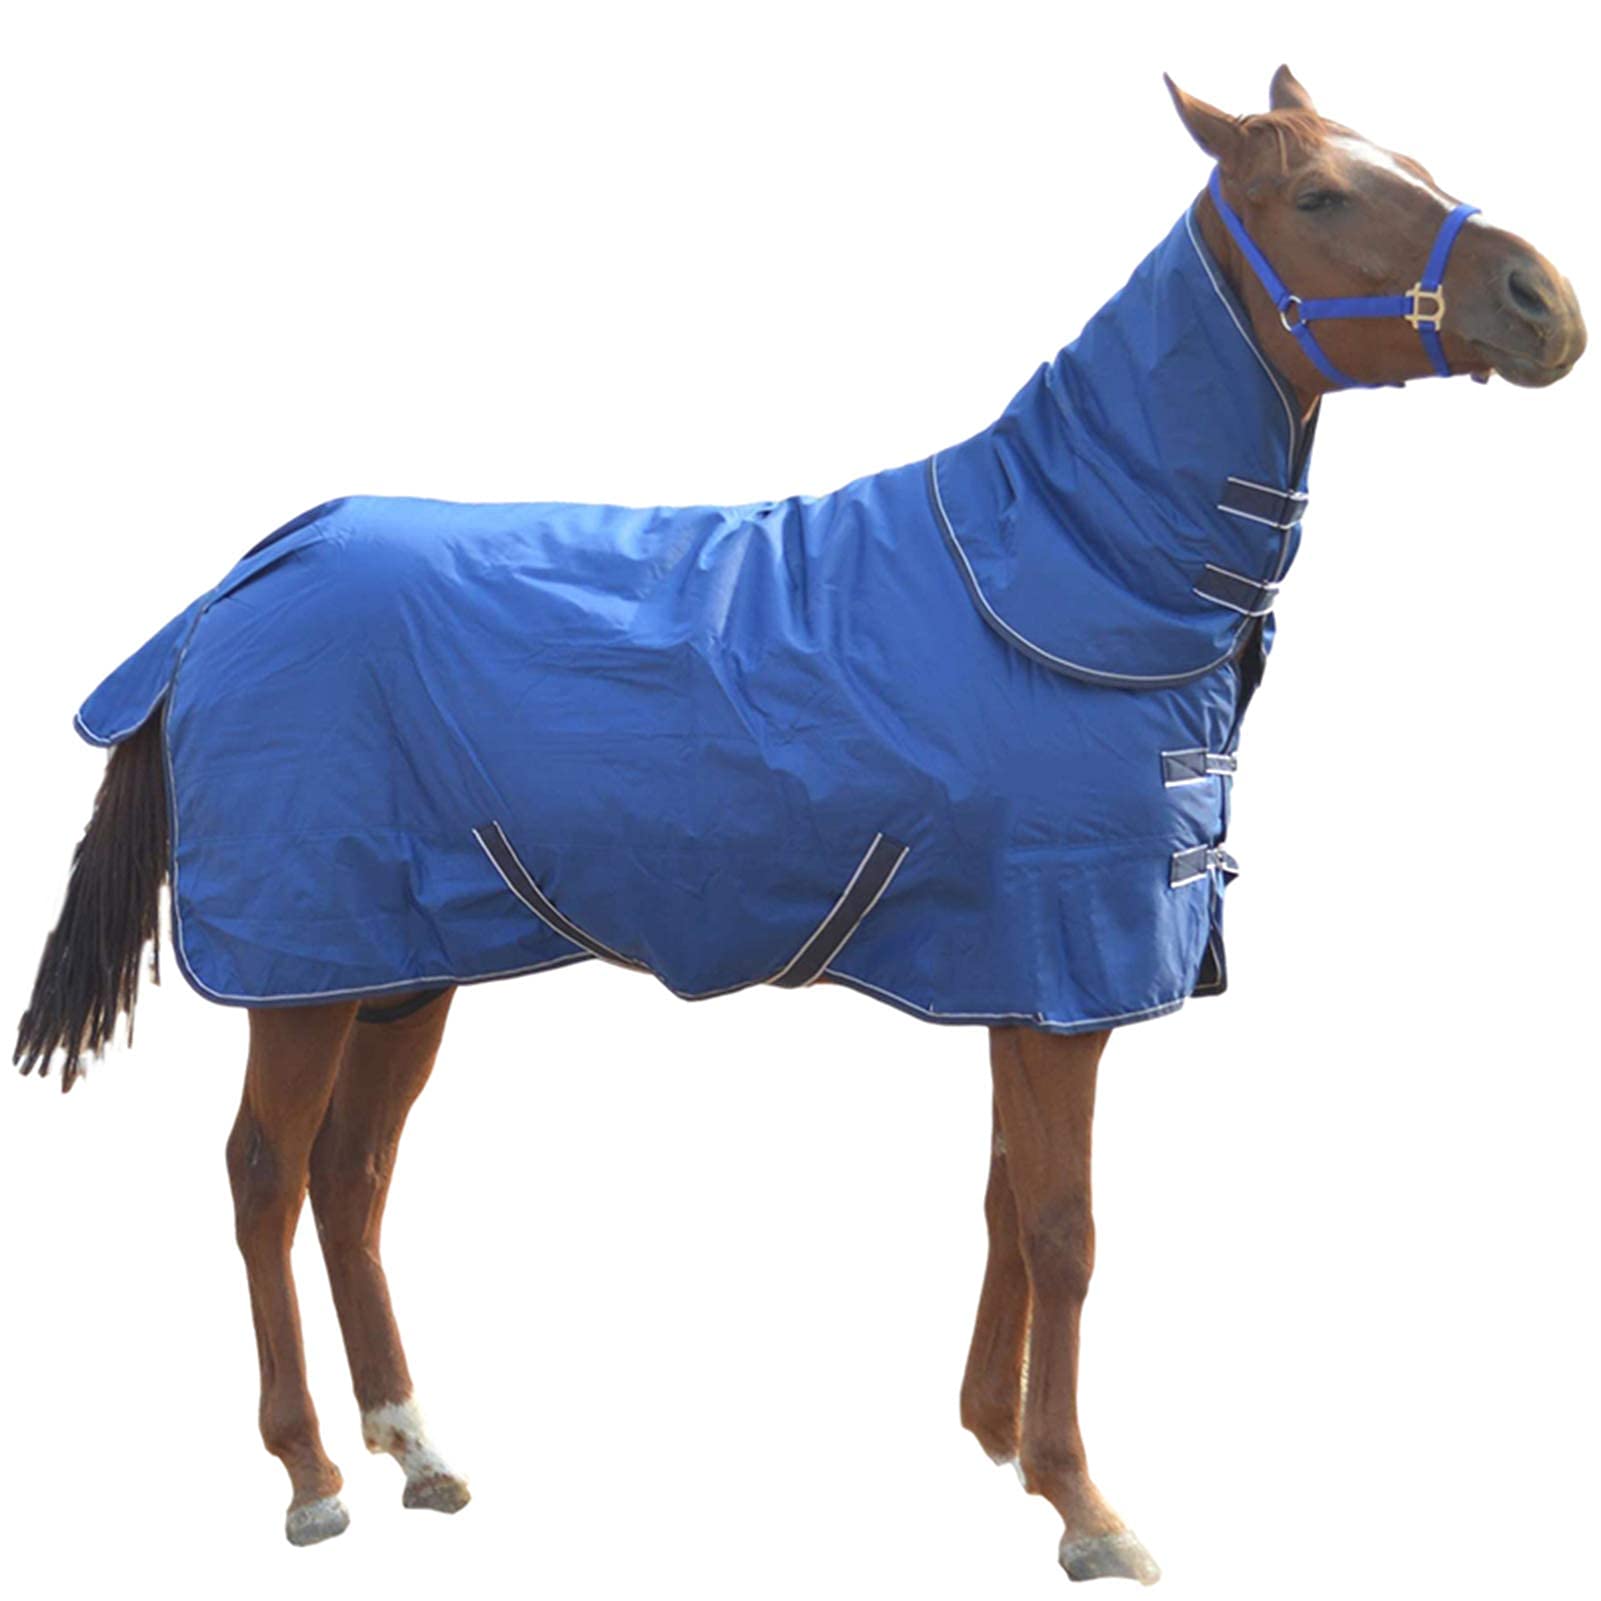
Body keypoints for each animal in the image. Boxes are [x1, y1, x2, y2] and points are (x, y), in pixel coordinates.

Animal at [13, 66, 1585, 1583]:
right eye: (1319, 196)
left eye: (1417, 167)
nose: (1544, 304)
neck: (1063, 571)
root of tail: (232, 588)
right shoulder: (1064, 967)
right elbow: (1065, 1228)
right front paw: (1082, 1502)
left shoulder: (1017, 976)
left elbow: (1007, 1203)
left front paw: (998, 1438)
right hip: (303, 968)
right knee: (263, 1176)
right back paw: (312, 1474)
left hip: (398, 966)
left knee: (350, 1176)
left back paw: (416, 1446)